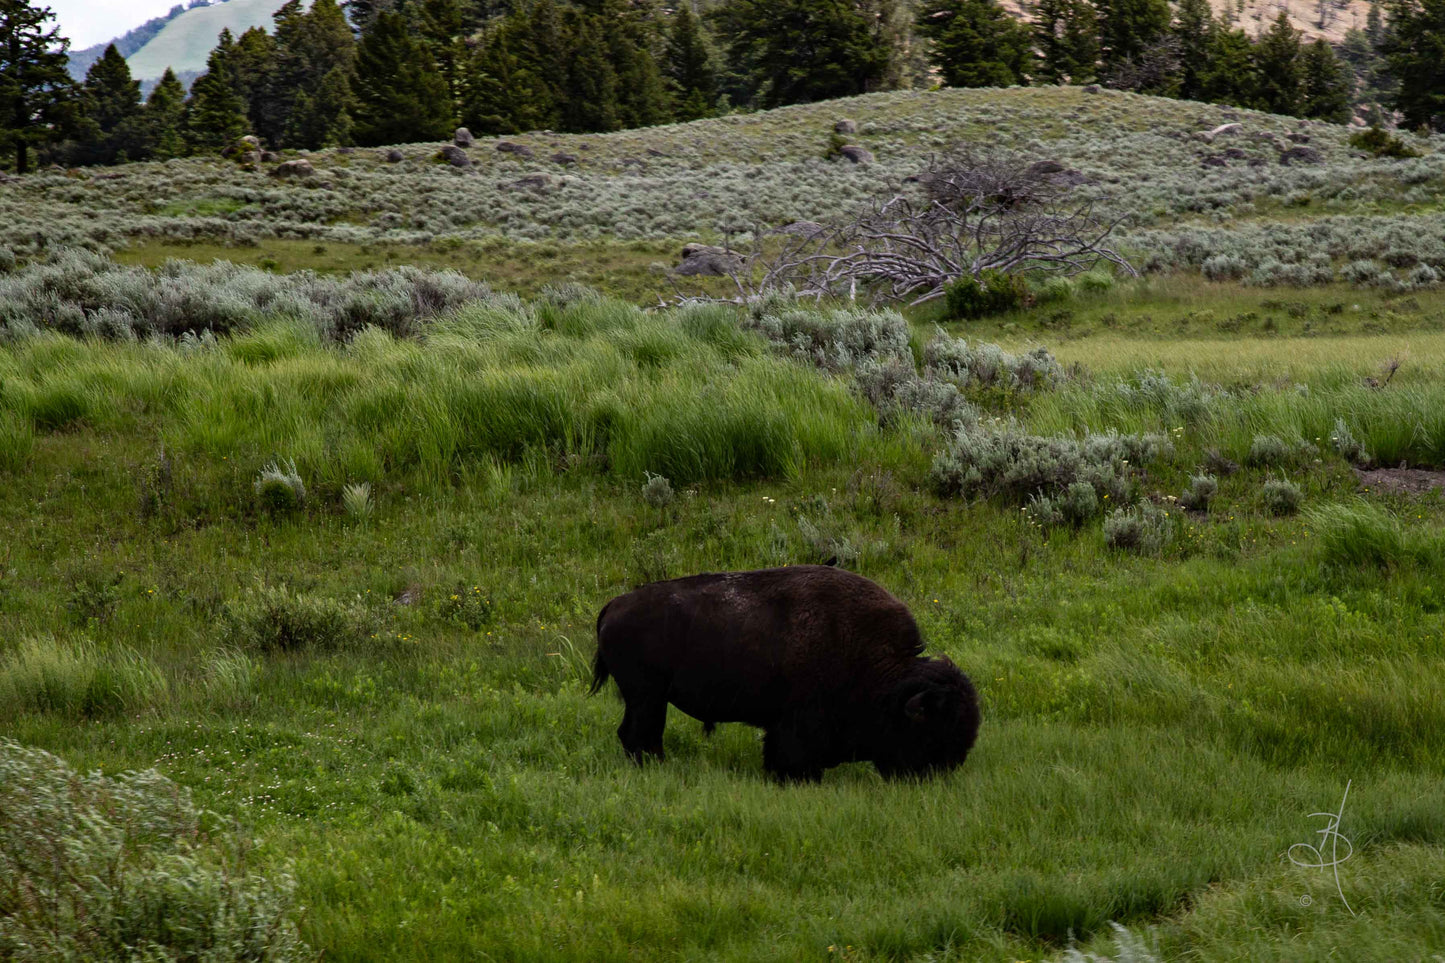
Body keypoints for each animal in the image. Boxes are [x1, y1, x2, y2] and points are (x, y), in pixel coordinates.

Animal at [591, 565, 981, 781]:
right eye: (933, 730)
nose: (939, 772)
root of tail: (614, 605)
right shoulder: (799, 723)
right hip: (647, 697)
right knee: (639, 735)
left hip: (647, 699)